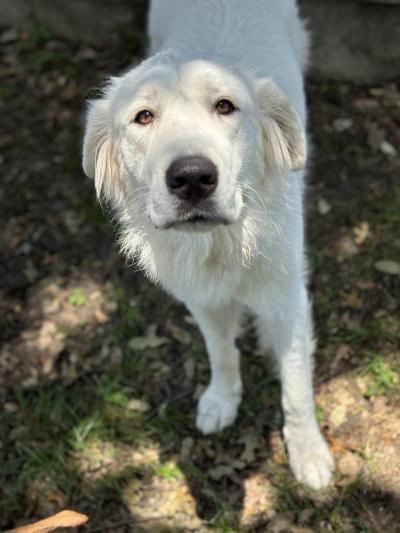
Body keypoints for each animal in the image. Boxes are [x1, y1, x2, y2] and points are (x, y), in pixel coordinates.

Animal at [83, 0, 334, 488]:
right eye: (144, 117)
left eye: (225, 107)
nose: (193, 178)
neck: (223, 242)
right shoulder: (202, 298)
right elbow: (221, 352)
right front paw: (222, 400)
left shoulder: (288, 300)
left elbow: (296, 384)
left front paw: (307, 451)